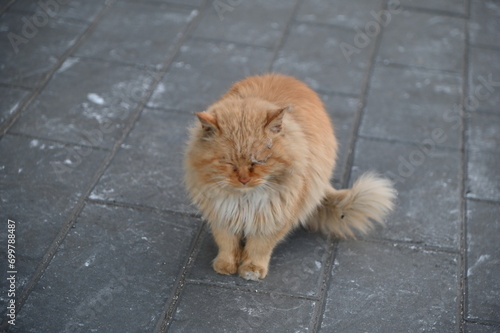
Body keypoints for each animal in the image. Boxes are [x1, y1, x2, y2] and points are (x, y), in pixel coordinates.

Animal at [184, 74, 394, 278]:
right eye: (228, 162)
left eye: (259, 161)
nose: (244, 180)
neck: (245, 201)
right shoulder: (220, 214)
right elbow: (227, 243)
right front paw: (225, 265)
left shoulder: (276, 217)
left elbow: (259, 247)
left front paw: (251, 270)